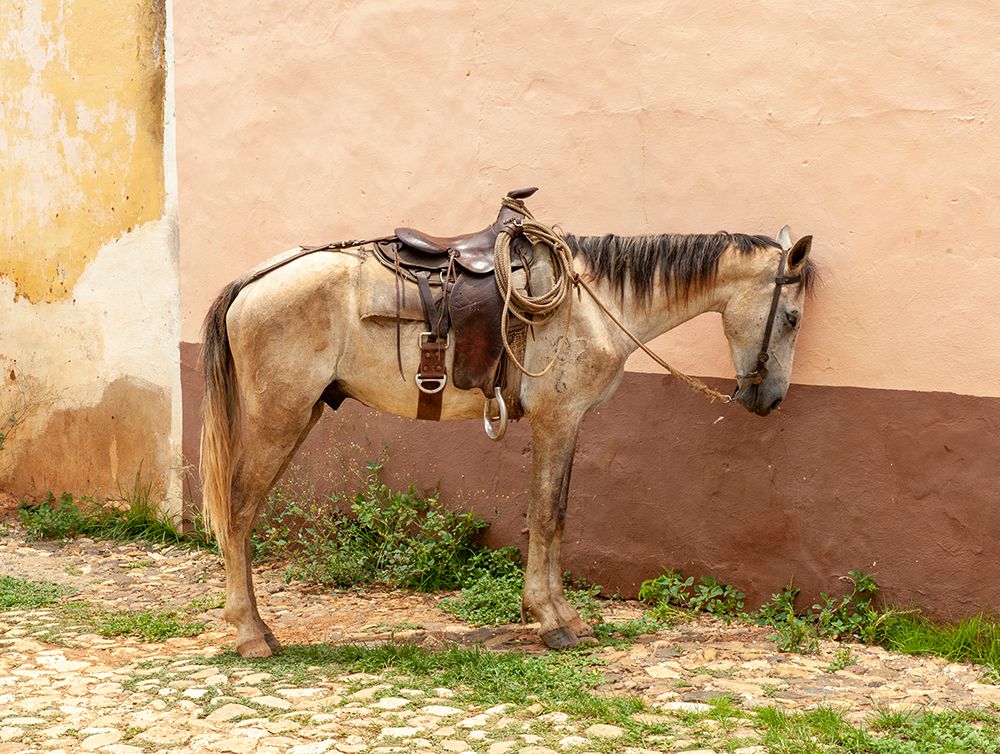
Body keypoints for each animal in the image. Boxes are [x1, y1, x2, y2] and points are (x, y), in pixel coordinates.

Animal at [199, 197, 816, 658]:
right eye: (791, 317)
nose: (768, 398)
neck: (594, 300)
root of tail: (253, 281)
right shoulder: (557, 421)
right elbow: (548, 516)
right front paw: (553, 622)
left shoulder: (567, 426)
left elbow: (555, 516)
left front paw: (561, 615)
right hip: (278, 418)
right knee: (239, 509)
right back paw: (251, 633)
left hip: (300, 415)